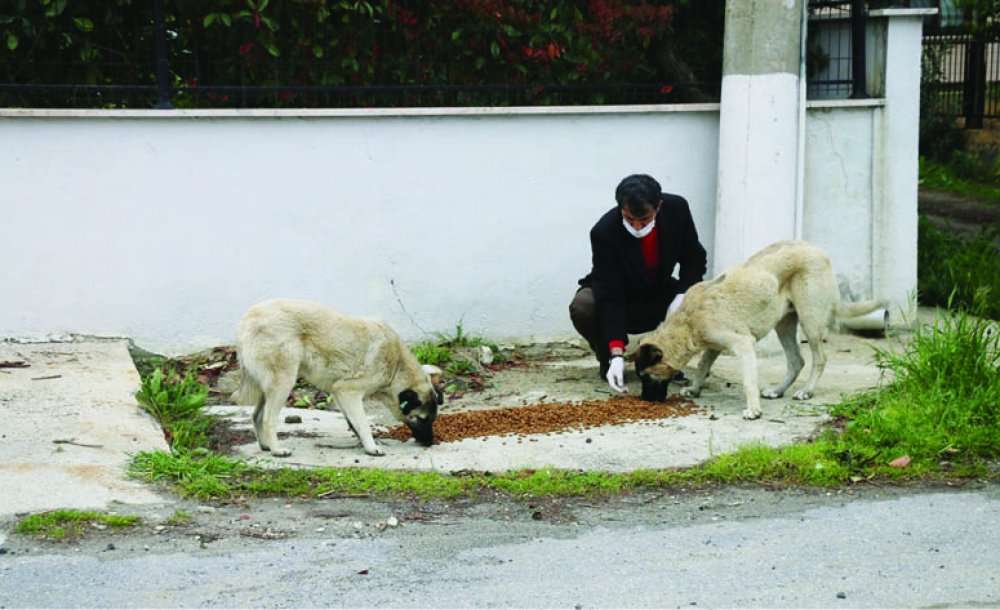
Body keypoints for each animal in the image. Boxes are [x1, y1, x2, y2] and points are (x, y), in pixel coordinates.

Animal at [232, 296, 444, 454]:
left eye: (432, 419)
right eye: (422, 419)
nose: (430, 442)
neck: (396, 366)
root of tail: (245, 321)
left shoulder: (339, 393)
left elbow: (354, 422)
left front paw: (363, 443)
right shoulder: (348, 391)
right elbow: (363, 423)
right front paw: (371, 447)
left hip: (267, 387)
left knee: (256, 416)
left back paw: (265, 446)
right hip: (283, 383)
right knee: (268, 419)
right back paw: (277, 450)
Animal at [636, 241, 888, 418]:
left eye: (646, 377)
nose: (644, 402)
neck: (687, 322)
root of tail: (818, 251)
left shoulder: (742, 343)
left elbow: (749, 381)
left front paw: (754, 410)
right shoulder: (714, 345)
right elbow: (702, 365)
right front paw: (695, 388)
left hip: (810, 322)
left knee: (819, 358)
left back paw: (806, 391)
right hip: (784, 324)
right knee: (797, 361)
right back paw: (778, 391)